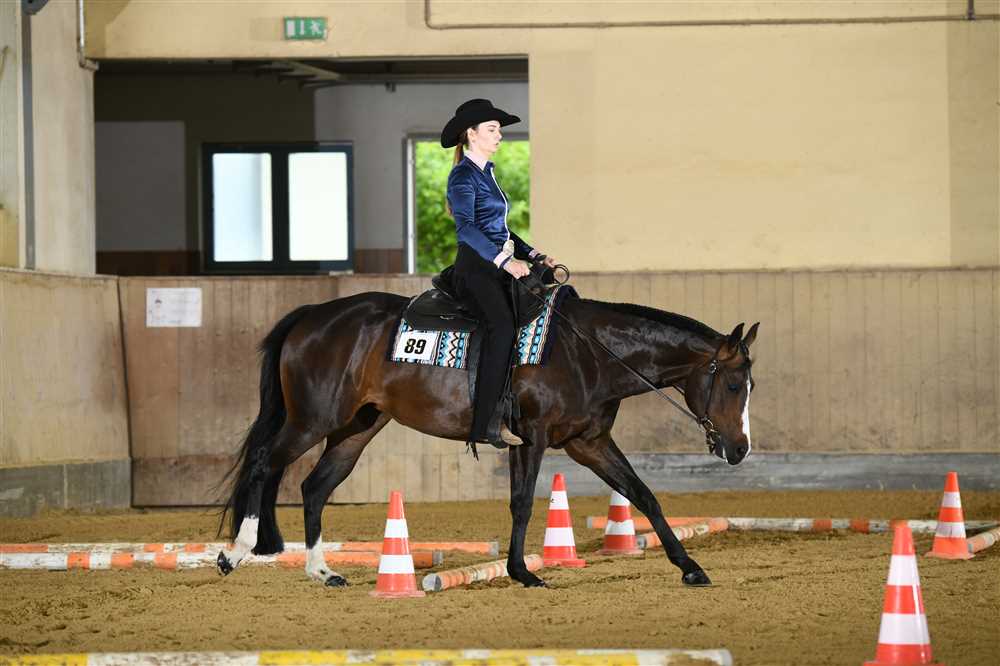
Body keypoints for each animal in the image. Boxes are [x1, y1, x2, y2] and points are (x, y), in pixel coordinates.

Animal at [216, 287, 758, 588]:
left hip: (355, 428)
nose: (739, 449)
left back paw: (323, 572)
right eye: (734, 385)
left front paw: (690, 567)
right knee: (264, 463)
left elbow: (644, 496)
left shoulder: (589, 442)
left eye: (749, 386)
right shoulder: (534, 437)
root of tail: (309, 316)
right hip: (313, 419)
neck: (588, 353)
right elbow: (522, 504)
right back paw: (236, 552)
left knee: (313, 488)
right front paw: (524, 572)